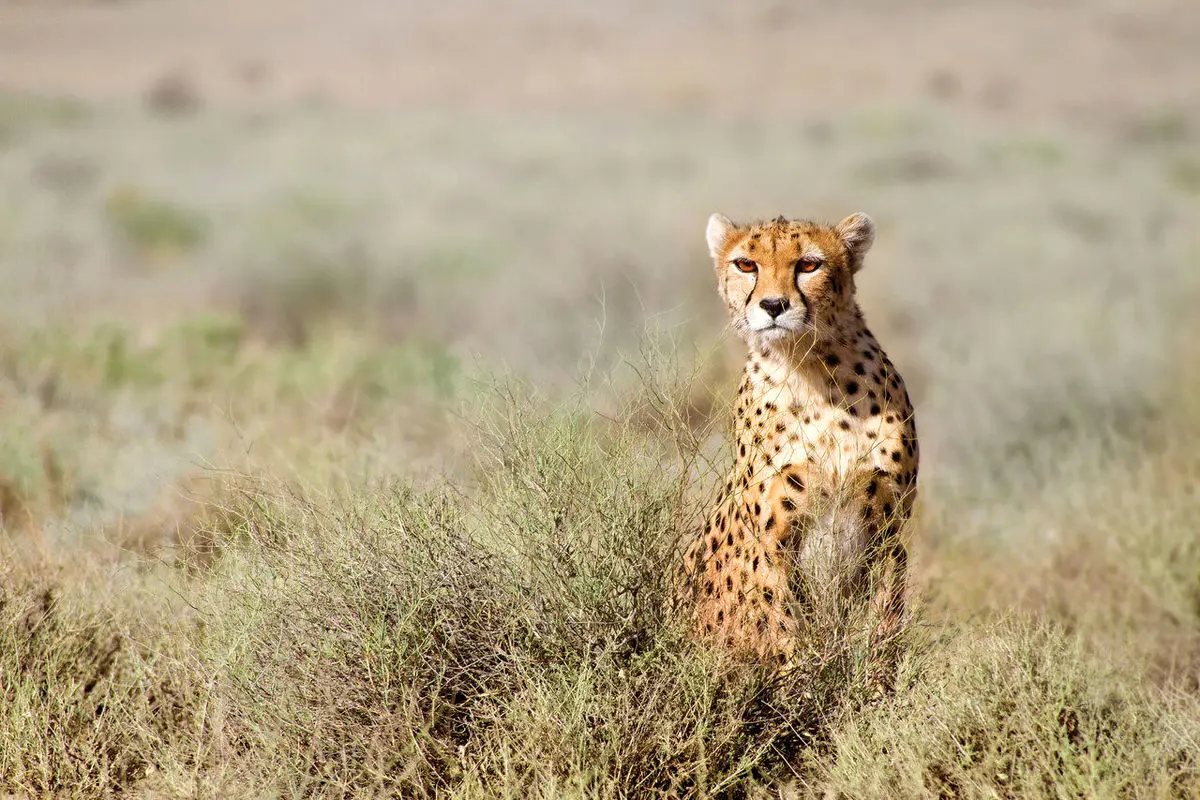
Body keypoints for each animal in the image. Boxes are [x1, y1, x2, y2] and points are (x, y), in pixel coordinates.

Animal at [681, 211, 921, 681]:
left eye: (809, 264)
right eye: (746, 264)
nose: (773, 306)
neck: (811, 371)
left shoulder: (888, 530)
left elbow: (883, 624)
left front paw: (875, 685)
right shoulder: (773, 541)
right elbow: (787, 624)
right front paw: (804, 681)